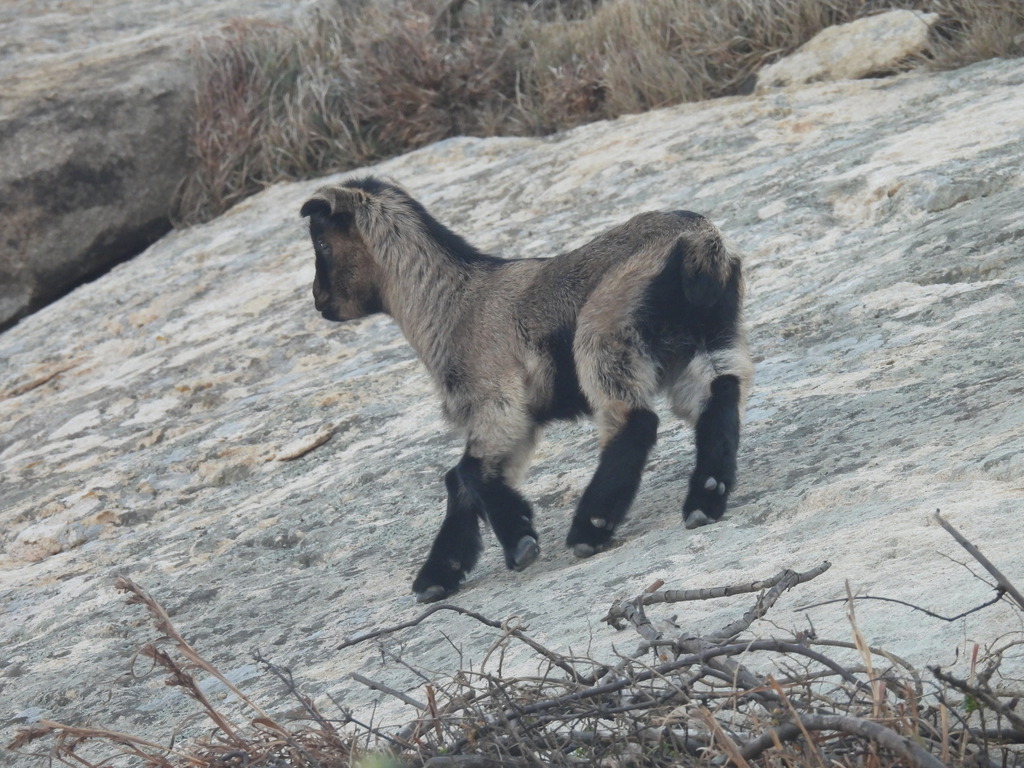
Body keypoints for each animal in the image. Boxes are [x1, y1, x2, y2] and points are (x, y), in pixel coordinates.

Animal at [301, 177, 753, 602]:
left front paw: (518, 542)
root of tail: (699, 241)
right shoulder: (514, 420)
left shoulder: (497, 400)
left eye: (322, 242)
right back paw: (706, 498)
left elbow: (467, 473)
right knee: (721, 391)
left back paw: (591, 526)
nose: (319, 300)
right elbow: (460, 479)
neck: (451, 306)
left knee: (635, 420)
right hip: (706, 334)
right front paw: (438, 577)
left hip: (605, 330)